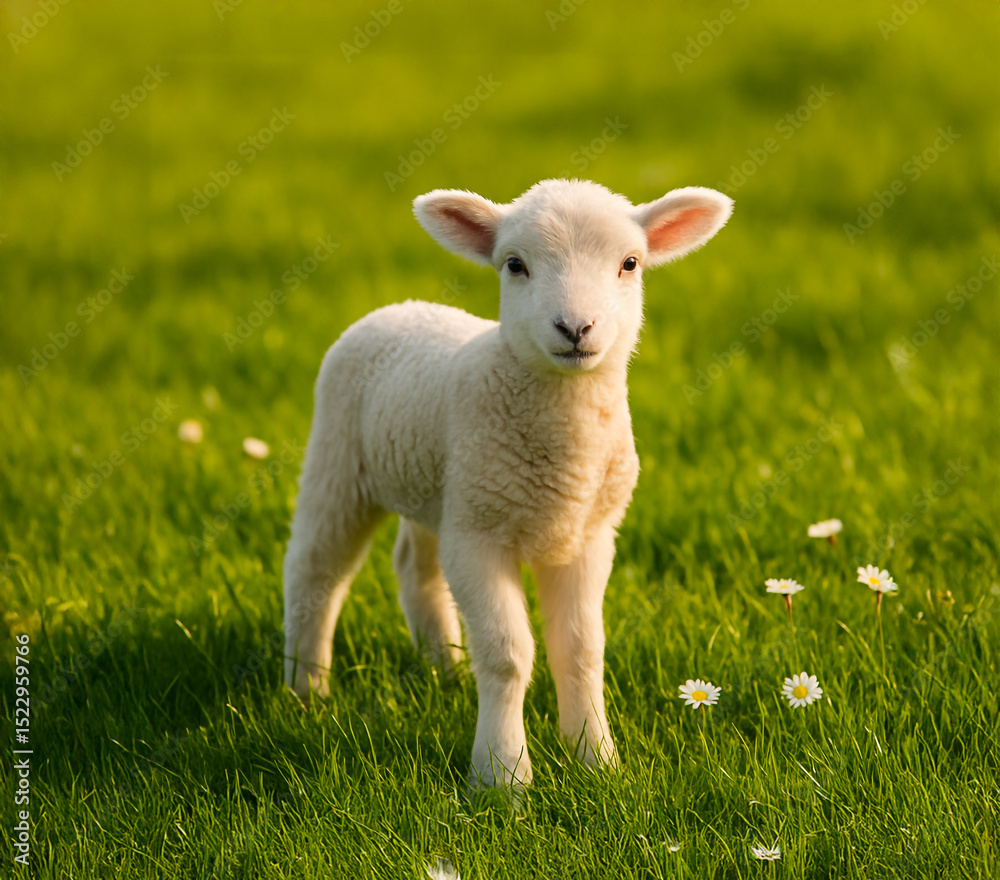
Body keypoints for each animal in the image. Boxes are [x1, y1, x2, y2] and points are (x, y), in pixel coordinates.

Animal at [283, 179, 733, 787]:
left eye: (630, 263)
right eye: (515, 265)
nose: (575, 328)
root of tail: (400, 307)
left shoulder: (587, 537)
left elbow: (581, 651)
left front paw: (596, 760)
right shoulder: (480, 539)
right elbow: (507, 655)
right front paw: (502, 775)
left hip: (440, 489)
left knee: (416, 570)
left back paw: (444, 670)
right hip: (339, 460)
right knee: (316, 573)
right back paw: (307, 689)